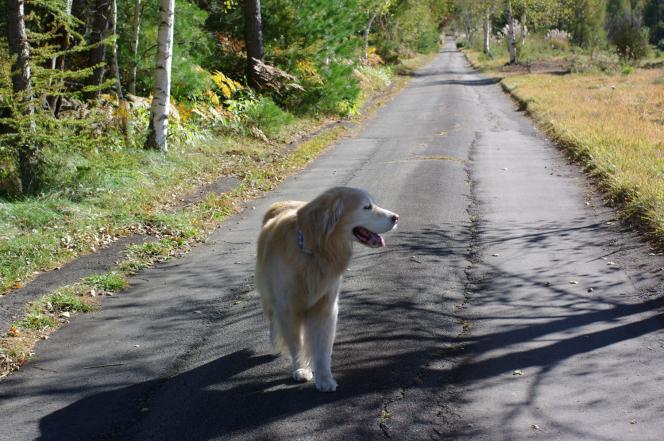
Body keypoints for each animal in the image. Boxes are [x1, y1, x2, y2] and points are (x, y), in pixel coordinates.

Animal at [255, 186, 400, 392]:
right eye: (367, 207)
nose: (396, 217)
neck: (315, 251)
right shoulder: (288, 308)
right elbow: (296, 343)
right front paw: (300, 369)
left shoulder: (325, 307)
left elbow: (322, 348)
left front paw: (324, 378)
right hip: (269, 294)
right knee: (273, 320)